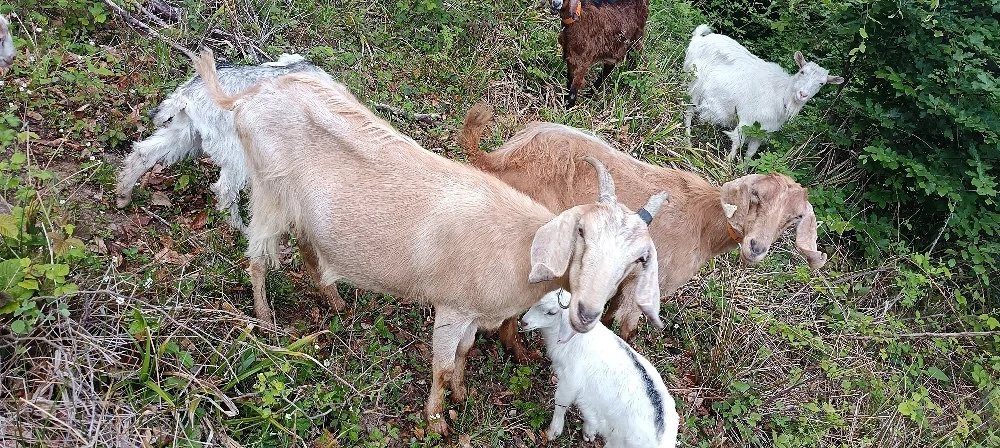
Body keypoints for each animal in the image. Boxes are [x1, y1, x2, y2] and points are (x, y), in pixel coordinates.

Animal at [115, 53, 329, 230]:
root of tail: (188, 92)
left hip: (186, 134)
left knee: (144, 153)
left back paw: (123, 196)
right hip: (236, 152)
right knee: (225, 189)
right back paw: (240, 230)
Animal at [192, 49, 669, 435]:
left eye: (636, 259)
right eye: (582, 235)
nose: (587, 313)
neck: (519, 245)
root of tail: (247, 97)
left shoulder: (473, 312)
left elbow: (465, 352)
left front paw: (460, 396)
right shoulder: (452, 307)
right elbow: (440, 364)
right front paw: (437, 420)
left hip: (301, 208)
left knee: (309, 247)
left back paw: (335, 302)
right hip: (269, 190)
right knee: (257, 257)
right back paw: (265, 320)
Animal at [461, 103, 826, 359]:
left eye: (794, 218)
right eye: (756, 197)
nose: (756, 248)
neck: (703, 223)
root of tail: (500, 158)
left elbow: (609, 318)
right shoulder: (648, 282)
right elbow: (628, 330)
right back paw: (518, 351)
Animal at [521, 290, 679, 447]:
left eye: (551, 312)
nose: (523, 322)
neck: (575, 338)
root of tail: (662, 438)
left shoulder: (570, 381)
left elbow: (561, 403)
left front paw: (552, 432)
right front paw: (589, 432)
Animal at [683, 24, 844, 159]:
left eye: (821, 83)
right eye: (802, 71)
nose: (802, 94)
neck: (781, 95)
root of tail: (699, 38)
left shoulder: (762, 131)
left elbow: (751, 153)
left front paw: (743, 170)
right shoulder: (746, 120)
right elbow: (737, 144)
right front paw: (727, 165)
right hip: (695, 83)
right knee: (689, 110)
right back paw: (688, 141)